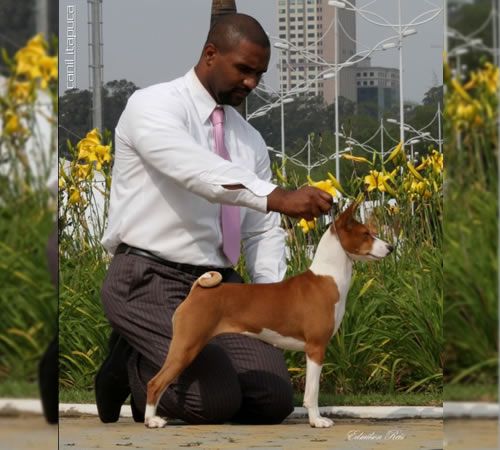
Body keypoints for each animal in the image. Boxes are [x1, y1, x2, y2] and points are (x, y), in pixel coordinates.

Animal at [145, 201, 394, 428]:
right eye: (366, 234)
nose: (391, 247)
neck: (327, 278)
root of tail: (197, 290)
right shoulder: (316, 348)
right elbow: (312, 393)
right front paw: (317, 421)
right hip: (186, 345)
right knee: (155, 383)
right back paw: (151, 420)